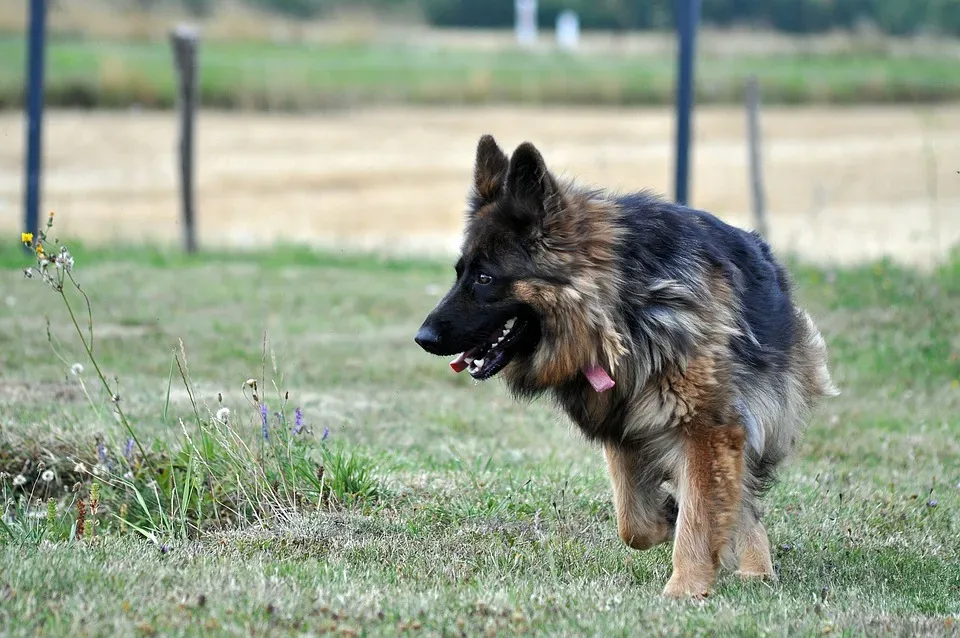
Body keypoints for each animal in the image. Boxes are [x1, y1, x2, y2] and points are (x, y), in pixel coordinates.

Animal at [416, 135, 836, 600]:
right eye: (460, 272)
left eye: (485, 279)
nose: (423, 337)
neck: (624, 308)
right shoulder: (624, 423)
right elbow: (633, 523)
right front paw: (667, 517)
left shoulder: (709, 428)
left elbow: (699, 515)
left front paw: (685, 588)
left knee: (744, 498)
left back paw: (755, 568)